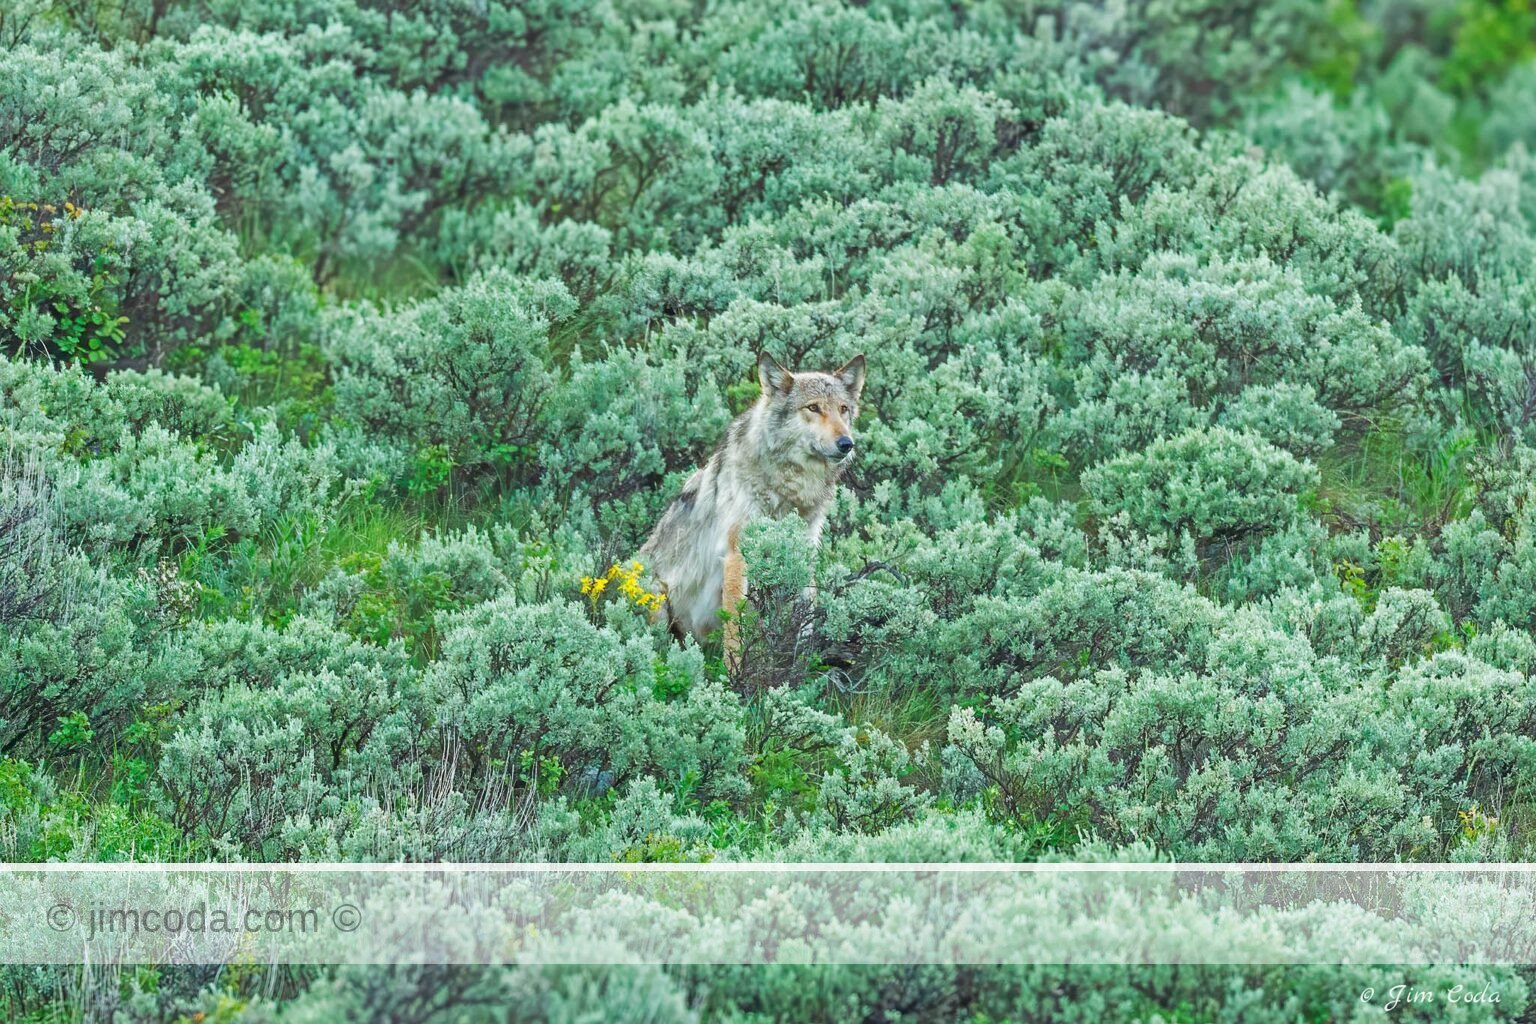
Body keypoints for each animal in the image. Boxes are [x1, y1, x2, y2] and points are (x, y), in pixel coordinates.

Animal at [637, 350, 866, 662]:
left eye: (843, 409)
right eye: (814, 407)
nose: (846, 443)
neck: (789, 488)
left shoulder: (804, 551)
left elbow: (807, 615)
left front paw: (802, 664)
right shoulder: (737, 556)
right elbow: (736, 628)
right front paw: (736, 673)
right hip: (656, 598)